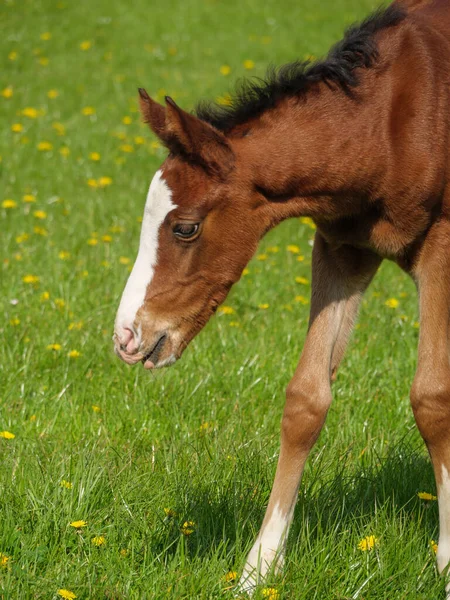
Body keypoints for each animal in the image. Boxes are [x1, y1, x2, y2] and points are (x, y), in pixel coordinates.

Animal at [114, 0, 450, 592]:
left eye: (185, 228)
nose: (127, 336)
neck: (388, 124)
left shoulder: (441, 241)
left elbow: (432, 397)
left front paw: (449, 562)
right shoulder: (342, 247)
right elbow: (305, 399)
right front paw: (259, 567)